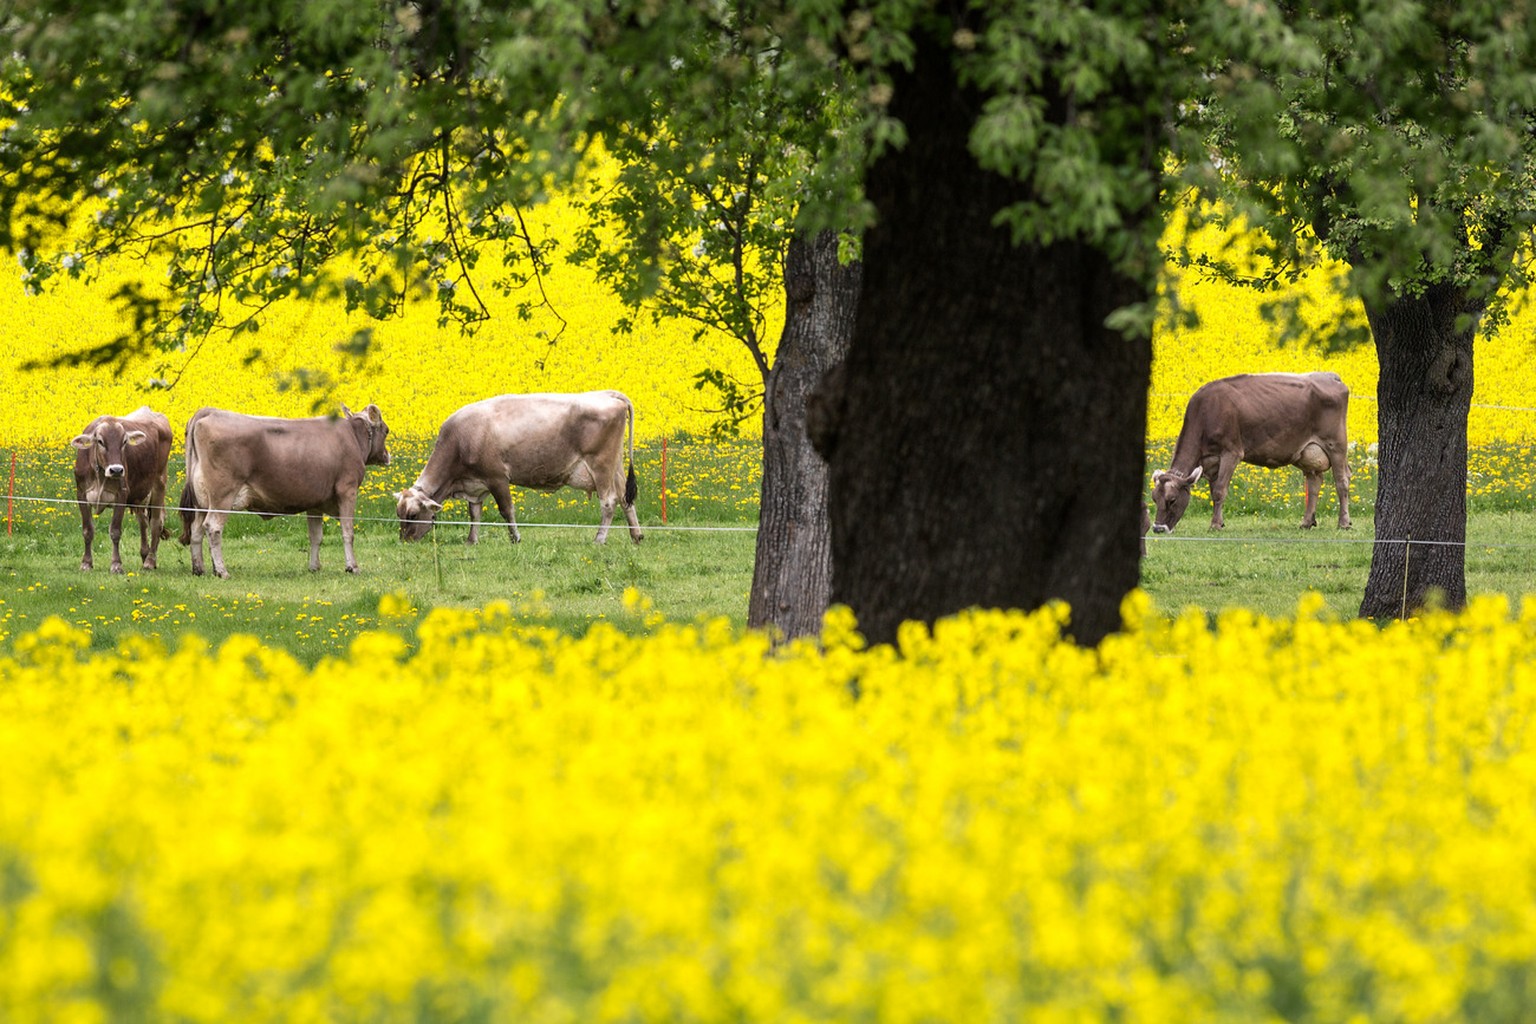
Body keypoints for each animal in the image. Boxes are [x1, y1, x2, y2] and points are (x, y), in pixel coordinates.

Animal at [72, 405, 175, 574]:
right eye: (100, 441)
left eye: (124, 441)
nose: (116, 470)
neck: (100, 475)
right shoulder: (81, 494)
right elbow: (87, 530)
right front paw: (86, 563)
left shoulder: (122, 495)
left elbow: (115, 531)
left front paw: (116, 564)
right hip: (140, 496)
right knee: (143, 522)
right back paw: (144, 554)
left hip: (159, 483)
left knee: (155, 523)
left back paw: (150, 561)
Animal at [176, 402, 390, 577]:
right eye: (386, 431)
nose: (387, 455)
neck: (352, 436)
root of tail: (210, 411)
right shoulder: (347, 490)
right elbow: (348, 532)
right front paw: (352, 567)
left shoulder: (316, 502)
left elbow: (316, 536)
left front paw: (314, 567)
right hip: (222, 496)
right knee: (213, 527)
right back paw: (221, 571)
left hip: (202, 500)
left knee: (196, 530)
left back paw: (199, 569)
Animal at [396, 388, 642, 543]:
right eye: (399, 514)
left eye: (413, 515)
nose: (404, 540)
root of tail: (605, 394)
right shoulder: (475, 484)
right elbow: (474, 513)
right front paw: (471, 540)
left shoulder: (497, 478)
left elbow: (506, 510)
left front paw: (515, 538)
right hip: (615, 467)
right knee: (625, 499)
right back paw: (636, 536)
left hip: (600, 465)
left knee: (609, 502)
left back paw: (599, 539)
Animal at [1148, 374, 1351, 537]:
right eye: (1154, 499)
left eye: (1172, 500)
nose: (1158, 529)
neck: (1206, 412)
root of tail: (1331, 376)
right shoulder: (1211, 461)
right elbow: (1214, 492)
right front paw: (1220, 522)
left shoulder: (1232, 452)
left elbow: (1220, 490)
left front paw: (1214, 525)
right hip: (1308, 453)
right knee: (1314, 483)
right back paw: (1307, 522)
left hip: (1336, 445)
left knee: (1342, 481)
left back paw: (1344, 523)